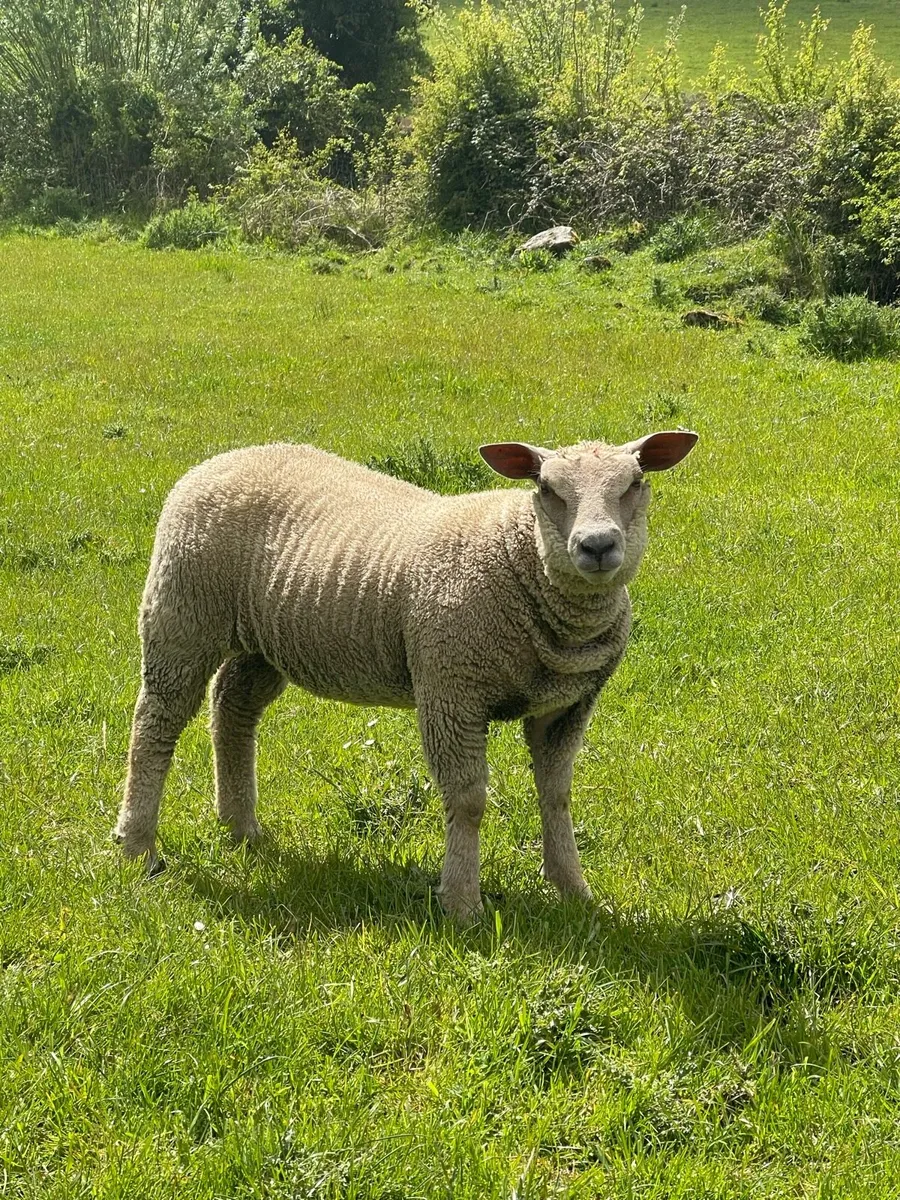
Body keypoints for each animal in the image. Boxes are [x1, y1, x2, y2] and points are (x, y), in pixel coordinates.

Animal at [114, 430, 698, 918]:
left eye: (635, 482)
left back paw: (240, 828)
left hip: (266, 641)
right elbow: (467, 801)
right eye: (546, 488)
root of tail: (218, 461)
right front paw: (462, 904)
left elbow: (556, 796)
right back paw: (137, 845)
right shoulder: (449, 686)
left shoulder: (567, 704)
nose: (597, 546)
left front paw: (574, 892)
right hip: (182, 613)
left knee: (232, 708)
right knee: (155, 723)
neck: (520, 561)